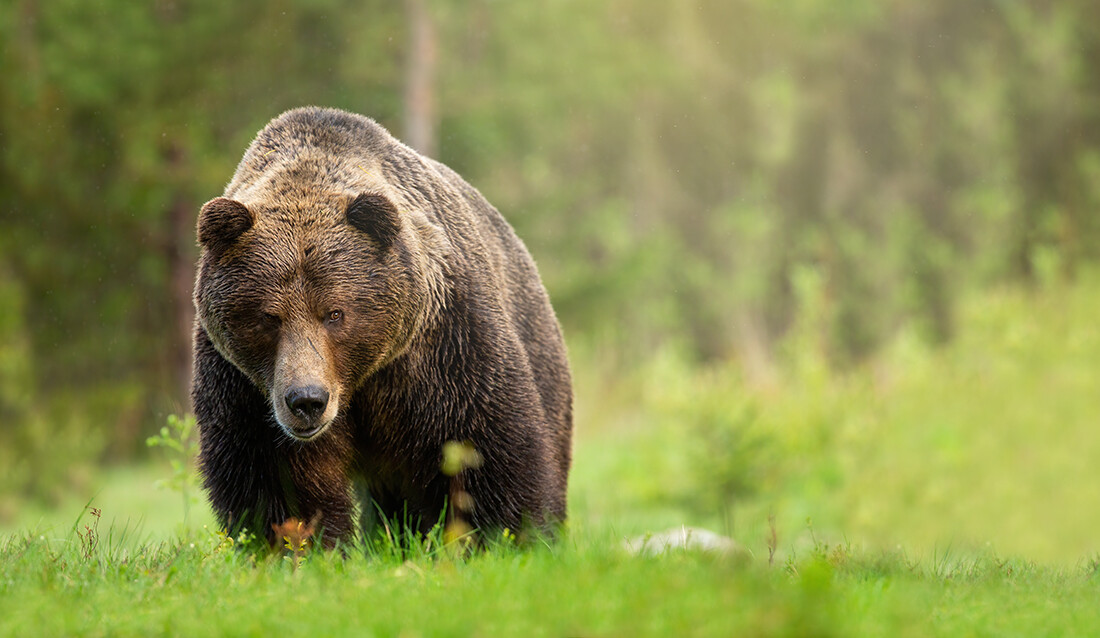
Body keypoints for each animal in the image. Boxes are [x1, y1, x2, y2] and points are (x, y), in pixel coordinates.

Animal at [188, 107, 572, 545]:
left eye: (334, 313)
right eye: (269, 317)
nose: (307, 400)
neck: (358, 381)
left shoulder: (443, 347)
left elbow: (484, 447)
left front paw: (512, 534)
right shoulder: (245, 387)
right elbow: (277, 482)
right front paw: (303, 545)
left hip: (537, 346)